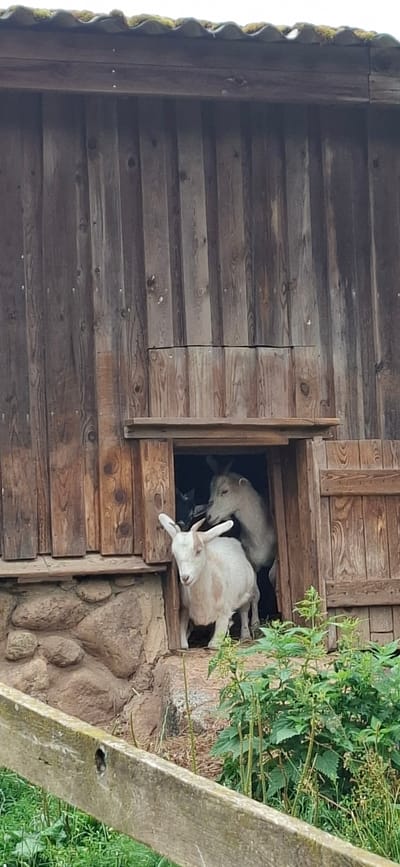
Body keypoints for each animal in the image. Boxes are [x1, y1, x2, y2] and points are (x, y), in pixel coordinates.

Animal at [158, 513, 260, 649]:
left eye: (198, 550)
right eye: (175, 554)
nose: (185, 577)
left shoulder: (224, 610)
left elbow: (213, 644)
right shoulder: (184, 609)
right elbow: (183, 643)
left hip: (247, 590)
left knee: (245, 608)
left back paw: (246, 635)